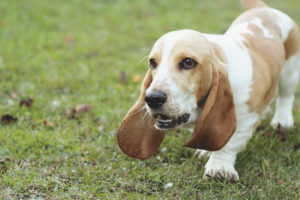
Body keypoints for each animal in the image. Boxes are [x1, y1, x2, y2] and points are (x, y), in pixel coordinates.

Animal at [116, 0, 298, 181]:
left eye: (188, 62)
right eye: (153, 63)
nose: (152, 98)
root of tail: (264, 9)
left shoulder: (244, 119)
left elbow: (229, 143)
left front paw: (220, 168)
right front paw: (206, 151)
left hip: (290, 72)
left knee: (286, 96)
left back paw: (282, 120)